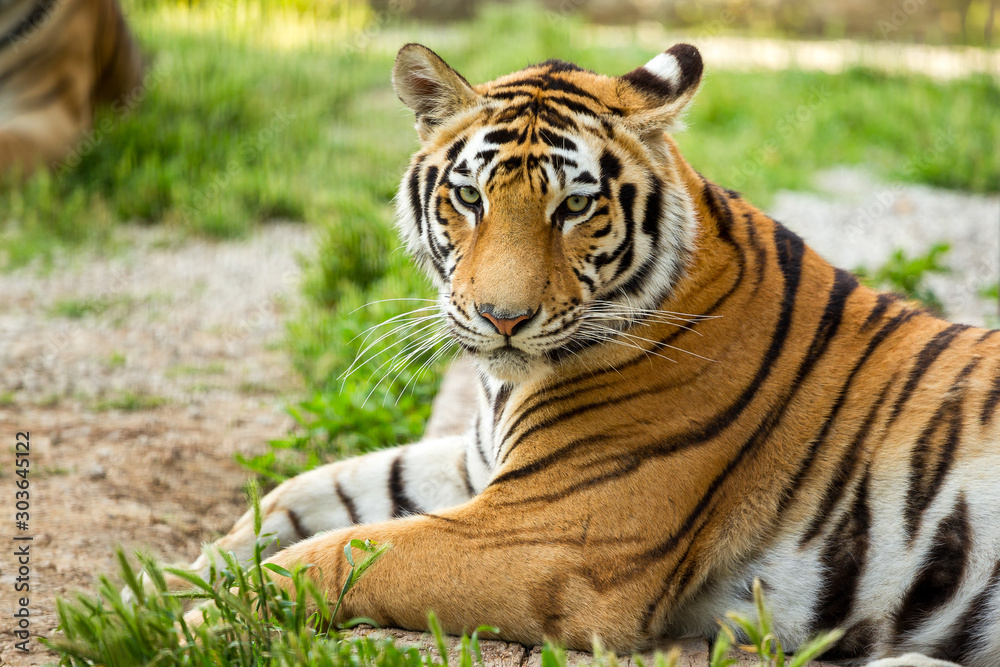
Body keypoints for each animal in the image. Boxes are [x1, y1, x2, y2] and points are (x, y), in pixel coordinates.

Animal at [152, 44, 1000, 667]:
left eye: (575, 206)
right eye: (470, 197)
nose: (502, 318)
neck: (506, 384)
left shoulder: (548, 536)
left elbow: (340, 552)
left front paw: (192, 624)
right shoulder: (483, 466)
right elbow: (307, 493)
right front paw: (162, 586)